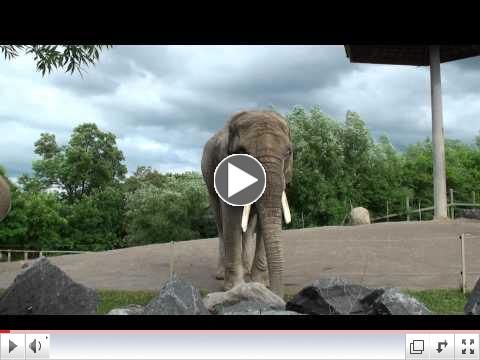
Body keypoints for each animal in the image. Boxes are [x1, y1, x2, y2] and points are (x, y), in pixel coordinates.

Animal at [200, 111, 292, 296]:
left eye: (288, 152)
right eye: (242, 152)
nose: (279, 298)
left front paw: (260, 284)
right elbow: (231, 218)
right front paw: (234, 288)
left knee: (249, 226)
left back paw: (247, 270)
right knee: (220, 221)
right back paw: (223, 274)